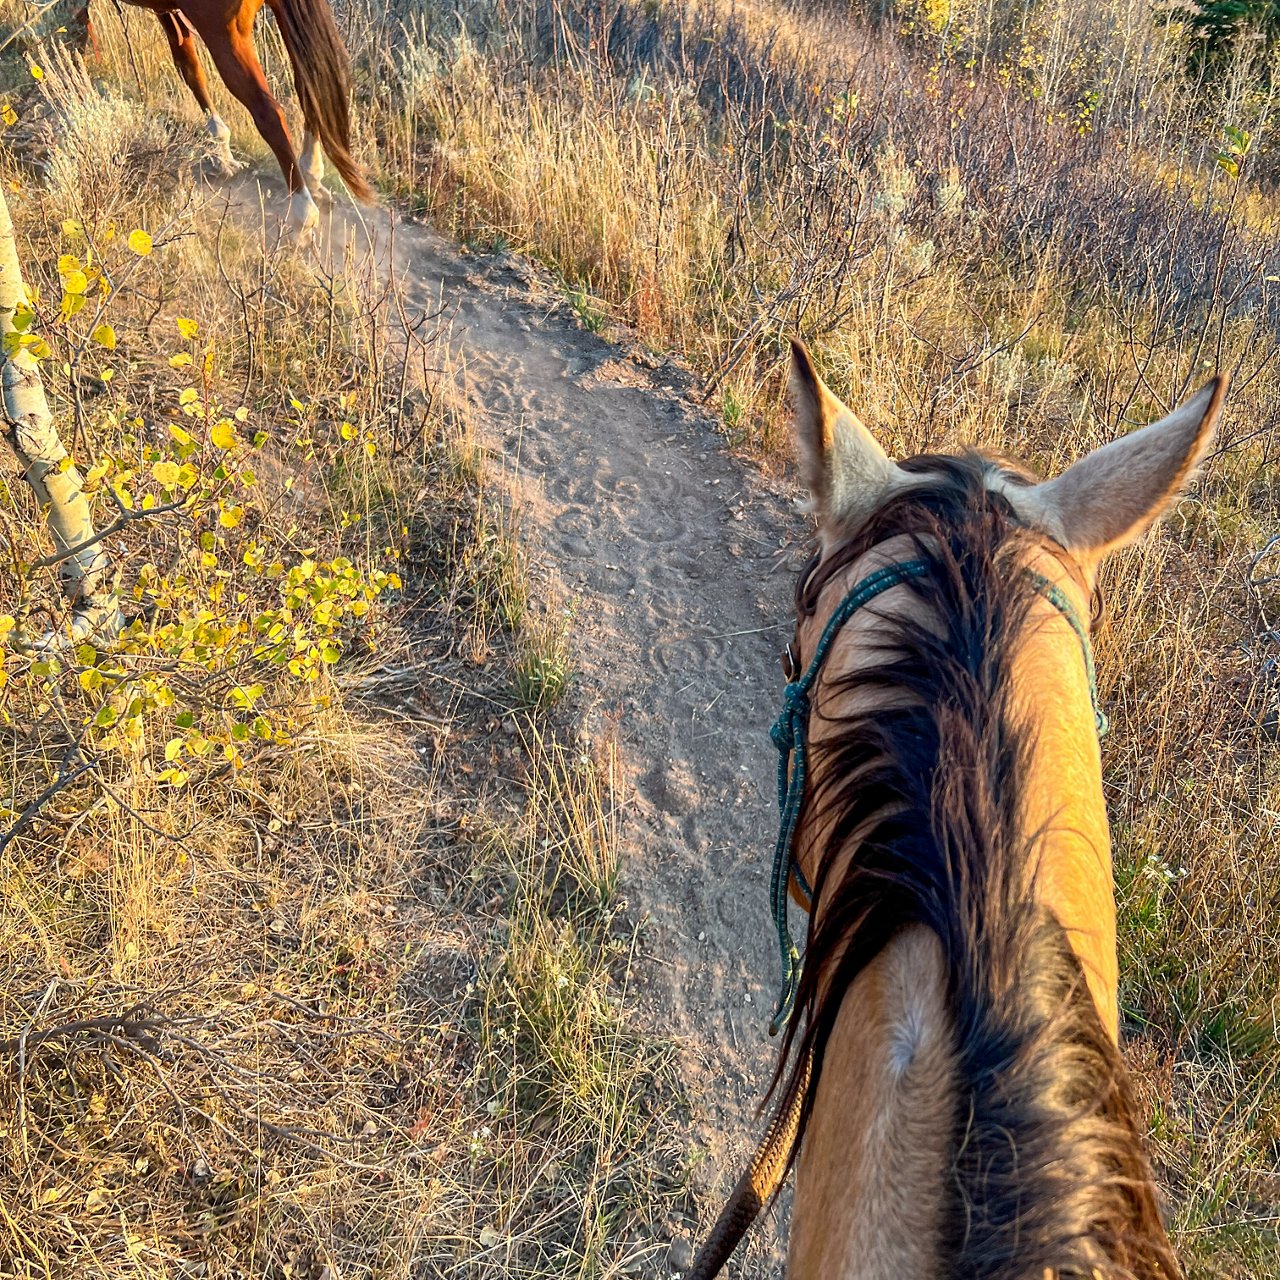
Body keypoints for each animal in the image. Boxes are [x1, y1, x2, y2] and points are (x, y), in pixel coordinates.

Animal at [71, 0, 372, 233]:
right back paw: (312, 176)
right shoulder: (168, 12)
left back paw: (303, 213)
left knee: (268, 113)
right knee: (310, 89)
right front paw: (223, 153)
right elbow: (190, 67)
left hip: (227, 37)